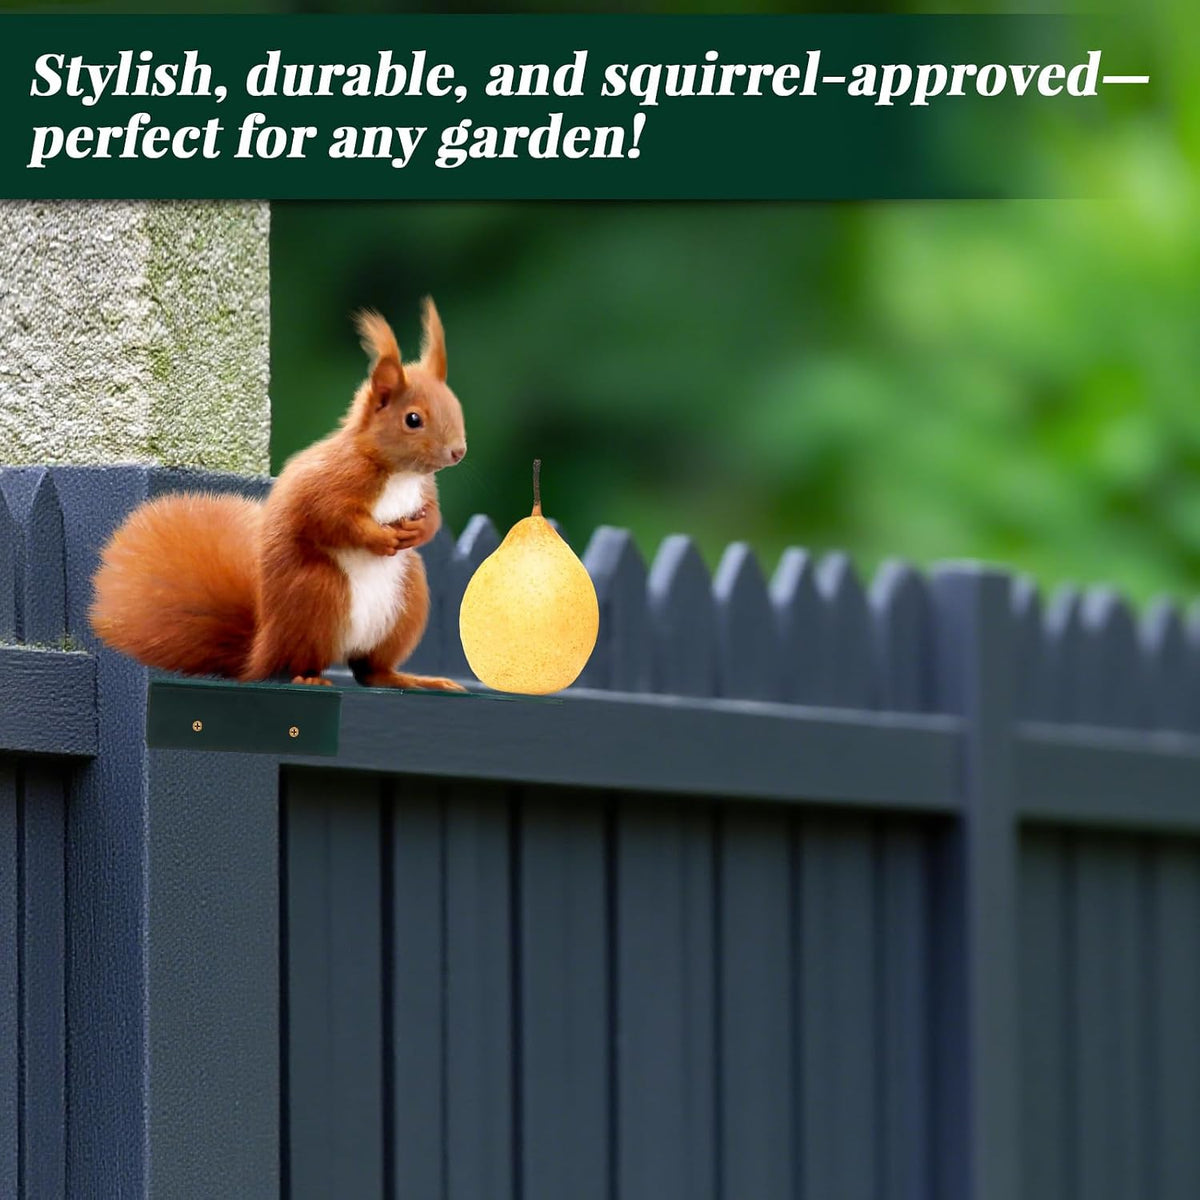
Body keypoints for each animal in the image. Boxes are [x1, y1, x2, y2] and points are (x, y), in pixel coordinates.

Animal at [89, 298, 467, 691]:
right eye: (413, 419)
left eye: (455, 408)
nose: (458, 452)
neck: (399, 473)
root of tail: (261, 651)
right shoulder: (334, 482)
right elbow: (333, 519)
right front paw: (378, 537)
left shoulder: (424, 489)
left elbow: (433, 514)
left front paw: (419, 531)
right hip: (319, 594)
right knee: (302, 661)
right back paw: (310, 677)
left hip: (407, 598)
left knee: (370, 670)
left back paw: (409, 678)